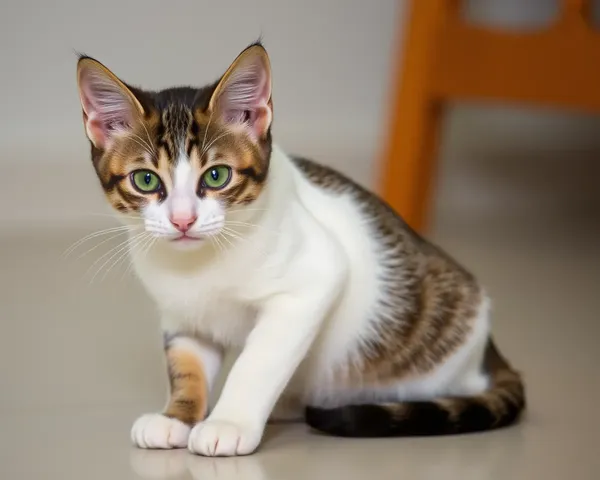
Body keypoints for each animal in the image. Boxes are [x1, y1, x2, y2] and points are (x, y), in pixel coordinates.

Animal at [76, 42, 524, 458]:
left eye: (217, 176)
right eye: (146, 180)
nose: (183, 220)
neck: (200, 264)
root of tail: (488, 348)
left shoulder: (312, 280)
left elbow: (258, 361)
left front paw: (229, 422)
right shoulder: (184, 313)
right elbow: (186, 365)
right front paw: (178, 416)